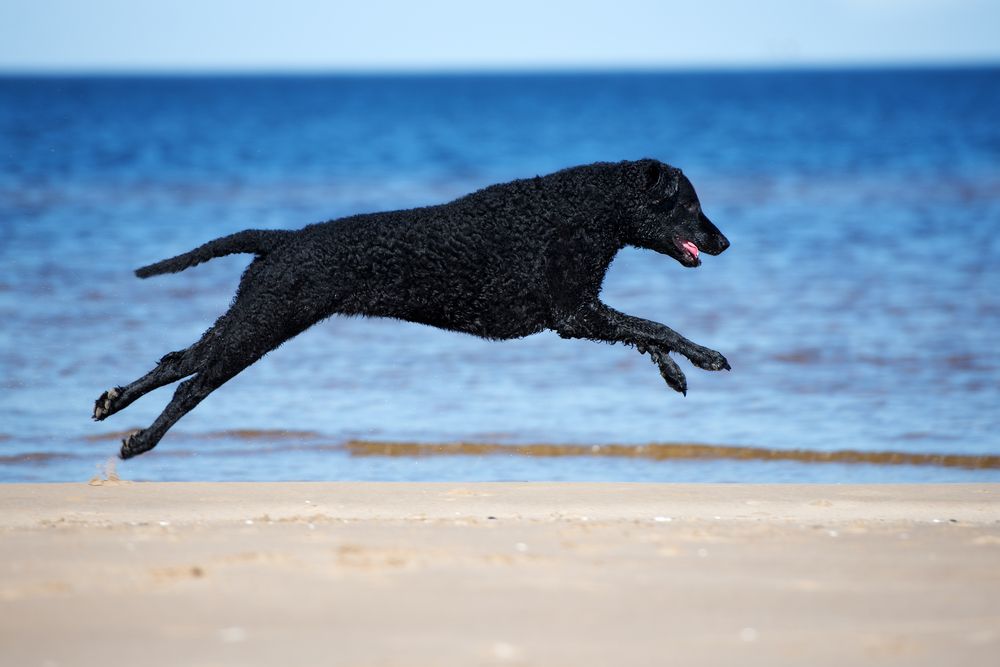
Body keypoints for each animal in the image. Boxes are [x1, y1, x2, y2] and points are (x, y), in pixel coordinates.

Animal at [94, 159, 732, 460]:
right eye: (690, 203)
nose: (724, 242)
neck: (590, 208)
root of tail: (284, 238)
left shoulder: (582, 311)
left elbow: (646, 333)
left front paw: (674, 371)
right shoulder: (573, 314)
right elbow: (656, 325)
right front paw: (704, 357)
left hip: (251, 313)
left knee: (179, 360)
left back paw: (113, 403)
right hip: (263, 324)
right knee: (191, 384)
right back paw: (140, 442)